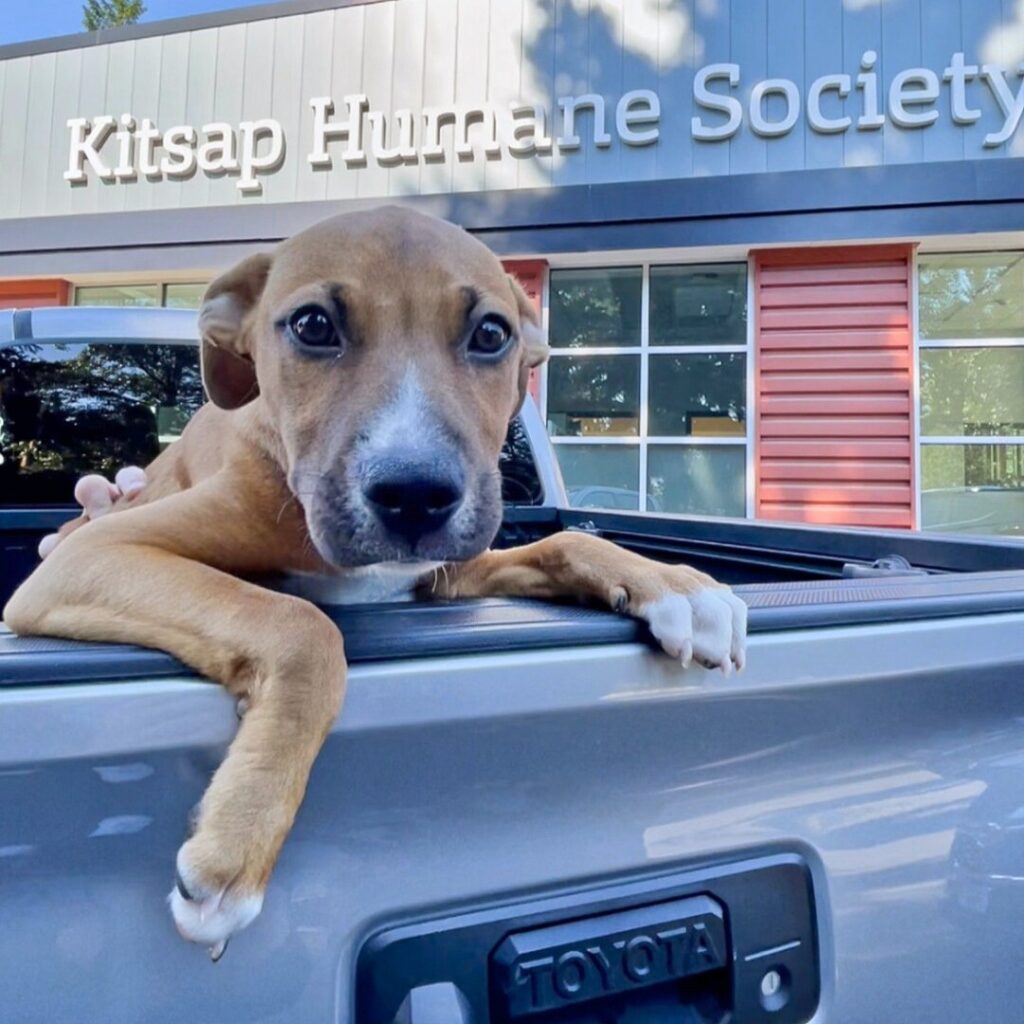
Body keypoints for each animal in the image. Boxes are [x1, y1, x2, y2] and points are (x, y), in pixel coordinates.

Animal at [2, 207, 745, 958]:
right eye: (312, 326)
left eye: (491, 334)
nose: (416, 495)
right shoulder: (93, 552)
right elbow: (301, 625)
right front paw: (235, 851)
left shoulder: (447, 571)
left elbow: (568, 540)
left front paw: (677, 585)